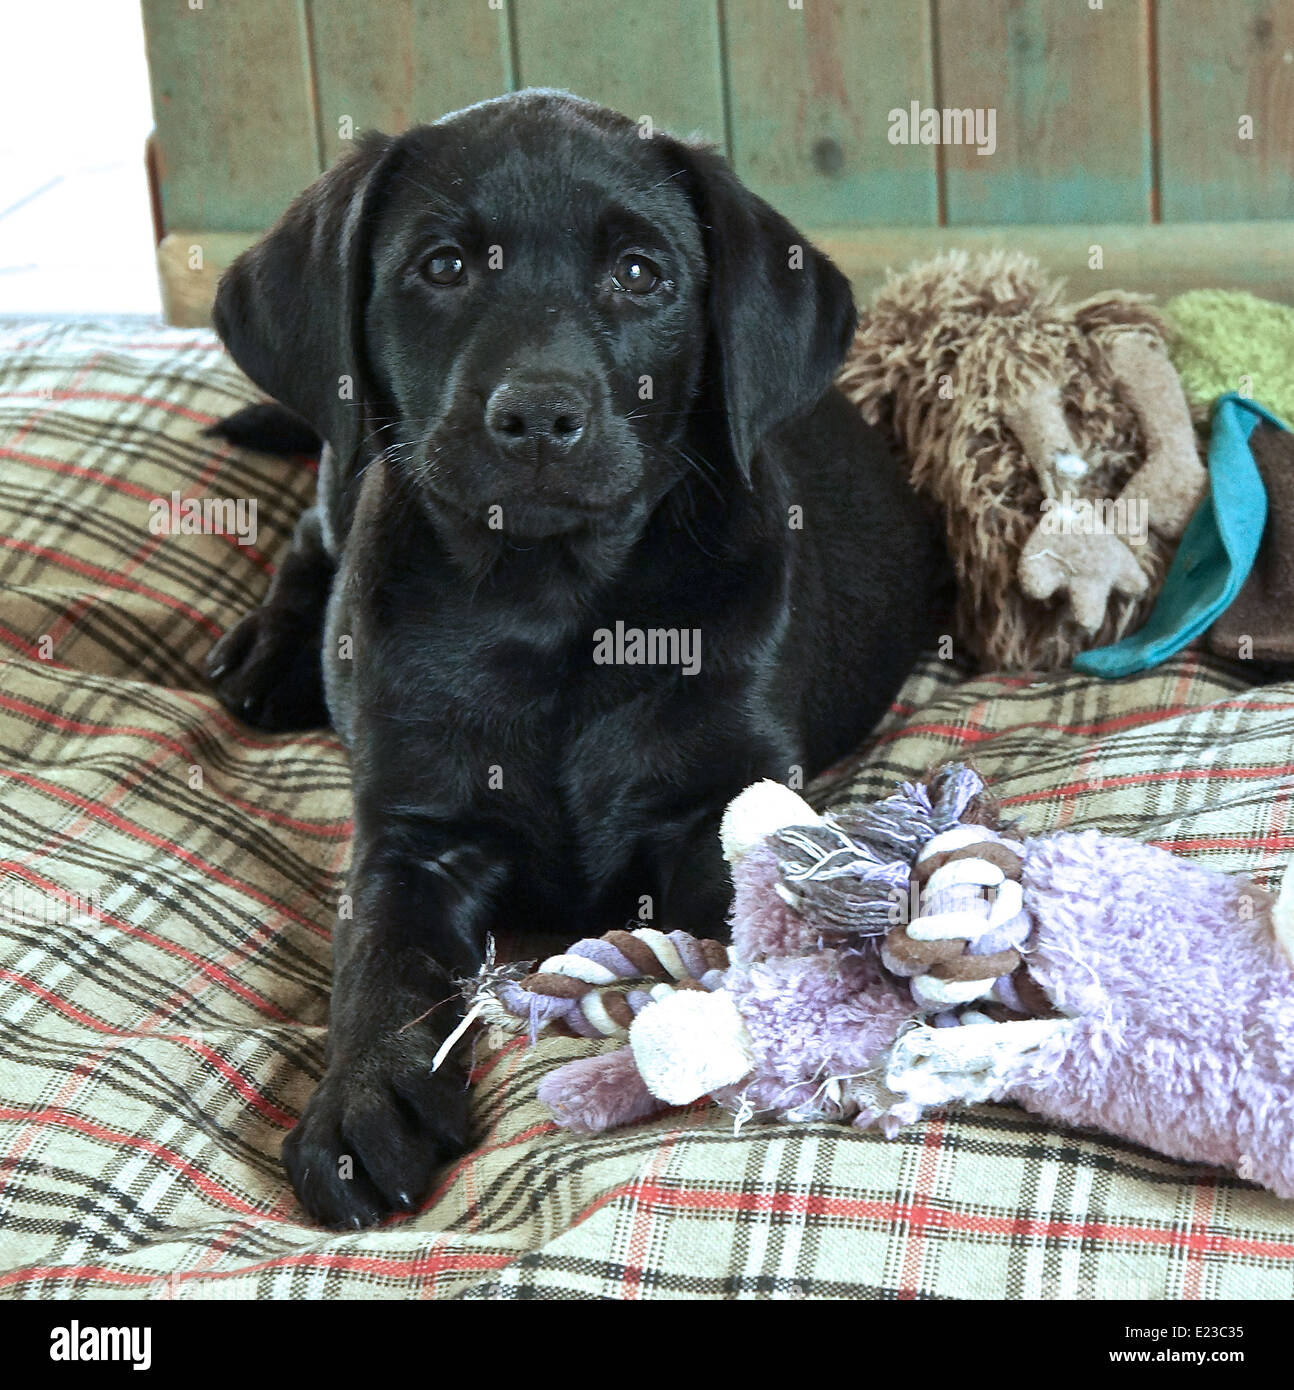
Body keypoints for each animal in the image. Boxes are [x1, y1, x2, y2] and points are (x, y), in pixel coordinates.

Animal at [204, 89, 950, 1228]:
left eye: (640, 273)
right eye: (443, 267)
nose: (538, 415)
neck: (554, 604)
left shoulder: (717, 800)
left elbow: (744, 923)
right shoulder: (409, 835)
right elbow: (378, 962)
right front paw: (364, 1099)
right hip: (345, 463)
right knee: (308, 533)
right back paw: (267, 654)